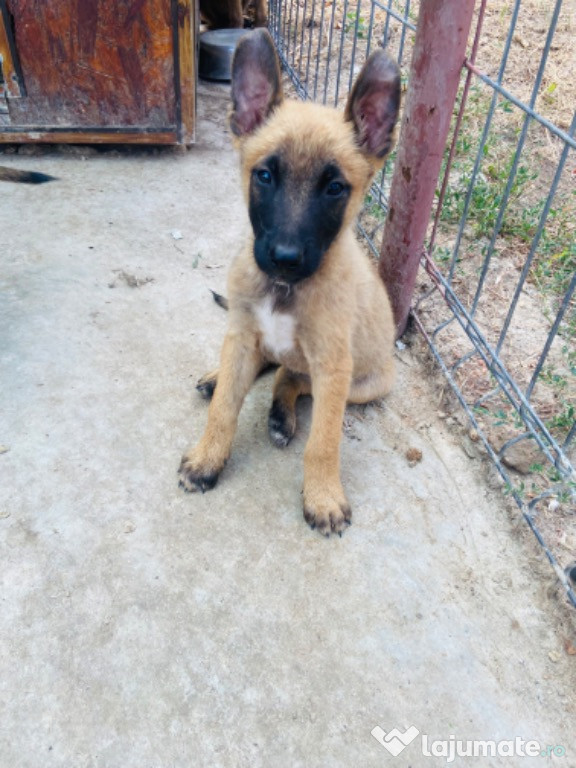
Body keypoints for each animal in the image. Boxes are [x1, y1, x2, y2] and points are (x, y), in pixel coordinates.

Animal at [180, 30, 400, 536]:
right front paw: (207, 459)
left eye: (334, 188)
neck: (284, 290)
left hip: (366, 383)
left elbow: (323, 442)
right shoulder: (242, 334)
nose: (283, 257)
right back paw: (218, 377)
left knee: (291, 377)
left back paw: (281, 415)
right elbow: (224, 410)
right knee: (266, 364)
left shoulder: (333, 367)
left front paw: (322, 496)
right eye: (264, 175)